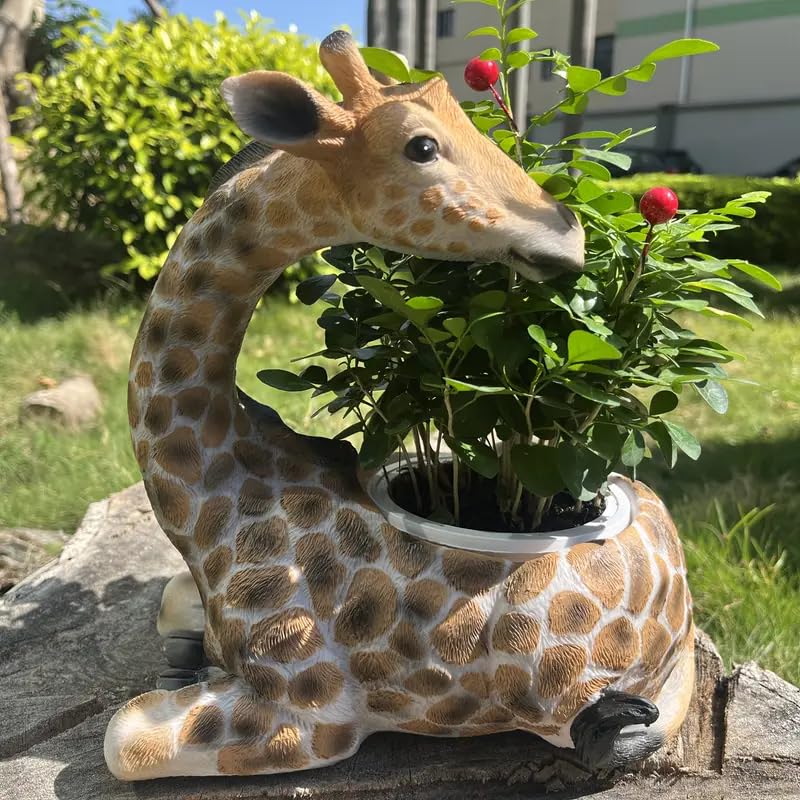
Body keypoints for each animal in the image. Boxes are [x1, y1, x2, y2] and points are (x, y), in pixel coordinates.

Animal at [105, 31, 695, 780]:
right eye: (421, 146)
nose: (570, 236)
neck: (208, 495)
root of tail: (681, 583)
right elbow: (165, 610)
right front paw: (183, 649)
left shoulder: (310, 713)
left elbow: (123, 737)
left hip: (557, 696)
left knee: (624, 722)